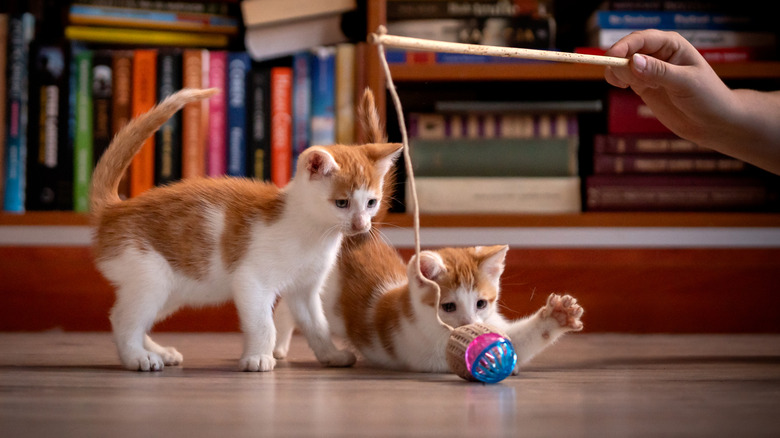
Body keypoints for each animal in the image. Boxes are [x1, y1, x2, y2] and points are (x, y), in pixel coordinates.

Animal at [91, 87, 402, 372]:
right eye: (342, 203)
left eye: (371, 202)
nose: (361, 224)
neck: (312, 233)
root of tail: (115, 209)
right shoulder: (252, 281)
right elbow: (264, 324)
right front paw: (258, 358)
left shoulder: (305, 289)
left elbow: (317, 325)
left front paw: (331, 355)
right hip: (151, 277)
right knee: (123, 319)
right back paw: (138, 357)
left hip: (173, 289)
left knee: (130, 317)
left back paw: (159, 352)